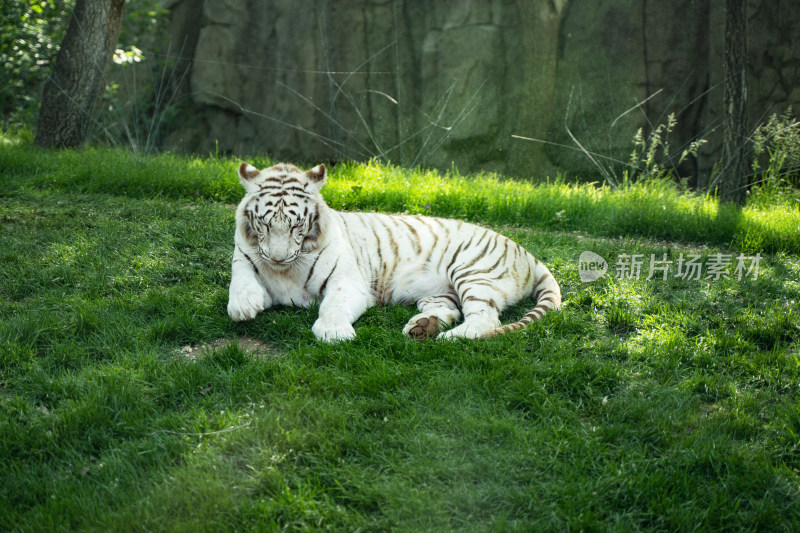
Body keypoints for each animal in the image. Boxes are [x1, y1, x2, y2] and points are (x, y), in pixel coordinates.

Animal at [228, 162, 560, 342]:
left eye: (297, 225)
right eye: (264, 224)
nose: (278, 257)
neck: (286, 269)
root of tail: (526, 252)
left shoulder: (348, 280)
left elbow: (334, 304)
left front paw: (334, 332)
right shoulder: (243, 256)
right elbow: (240, 281)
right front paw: (243, 305)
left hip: (473, 272)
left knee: (486, 319)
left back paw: (449, 337)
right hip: (441, 291)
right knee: (451, 309)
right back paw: (423, 327)